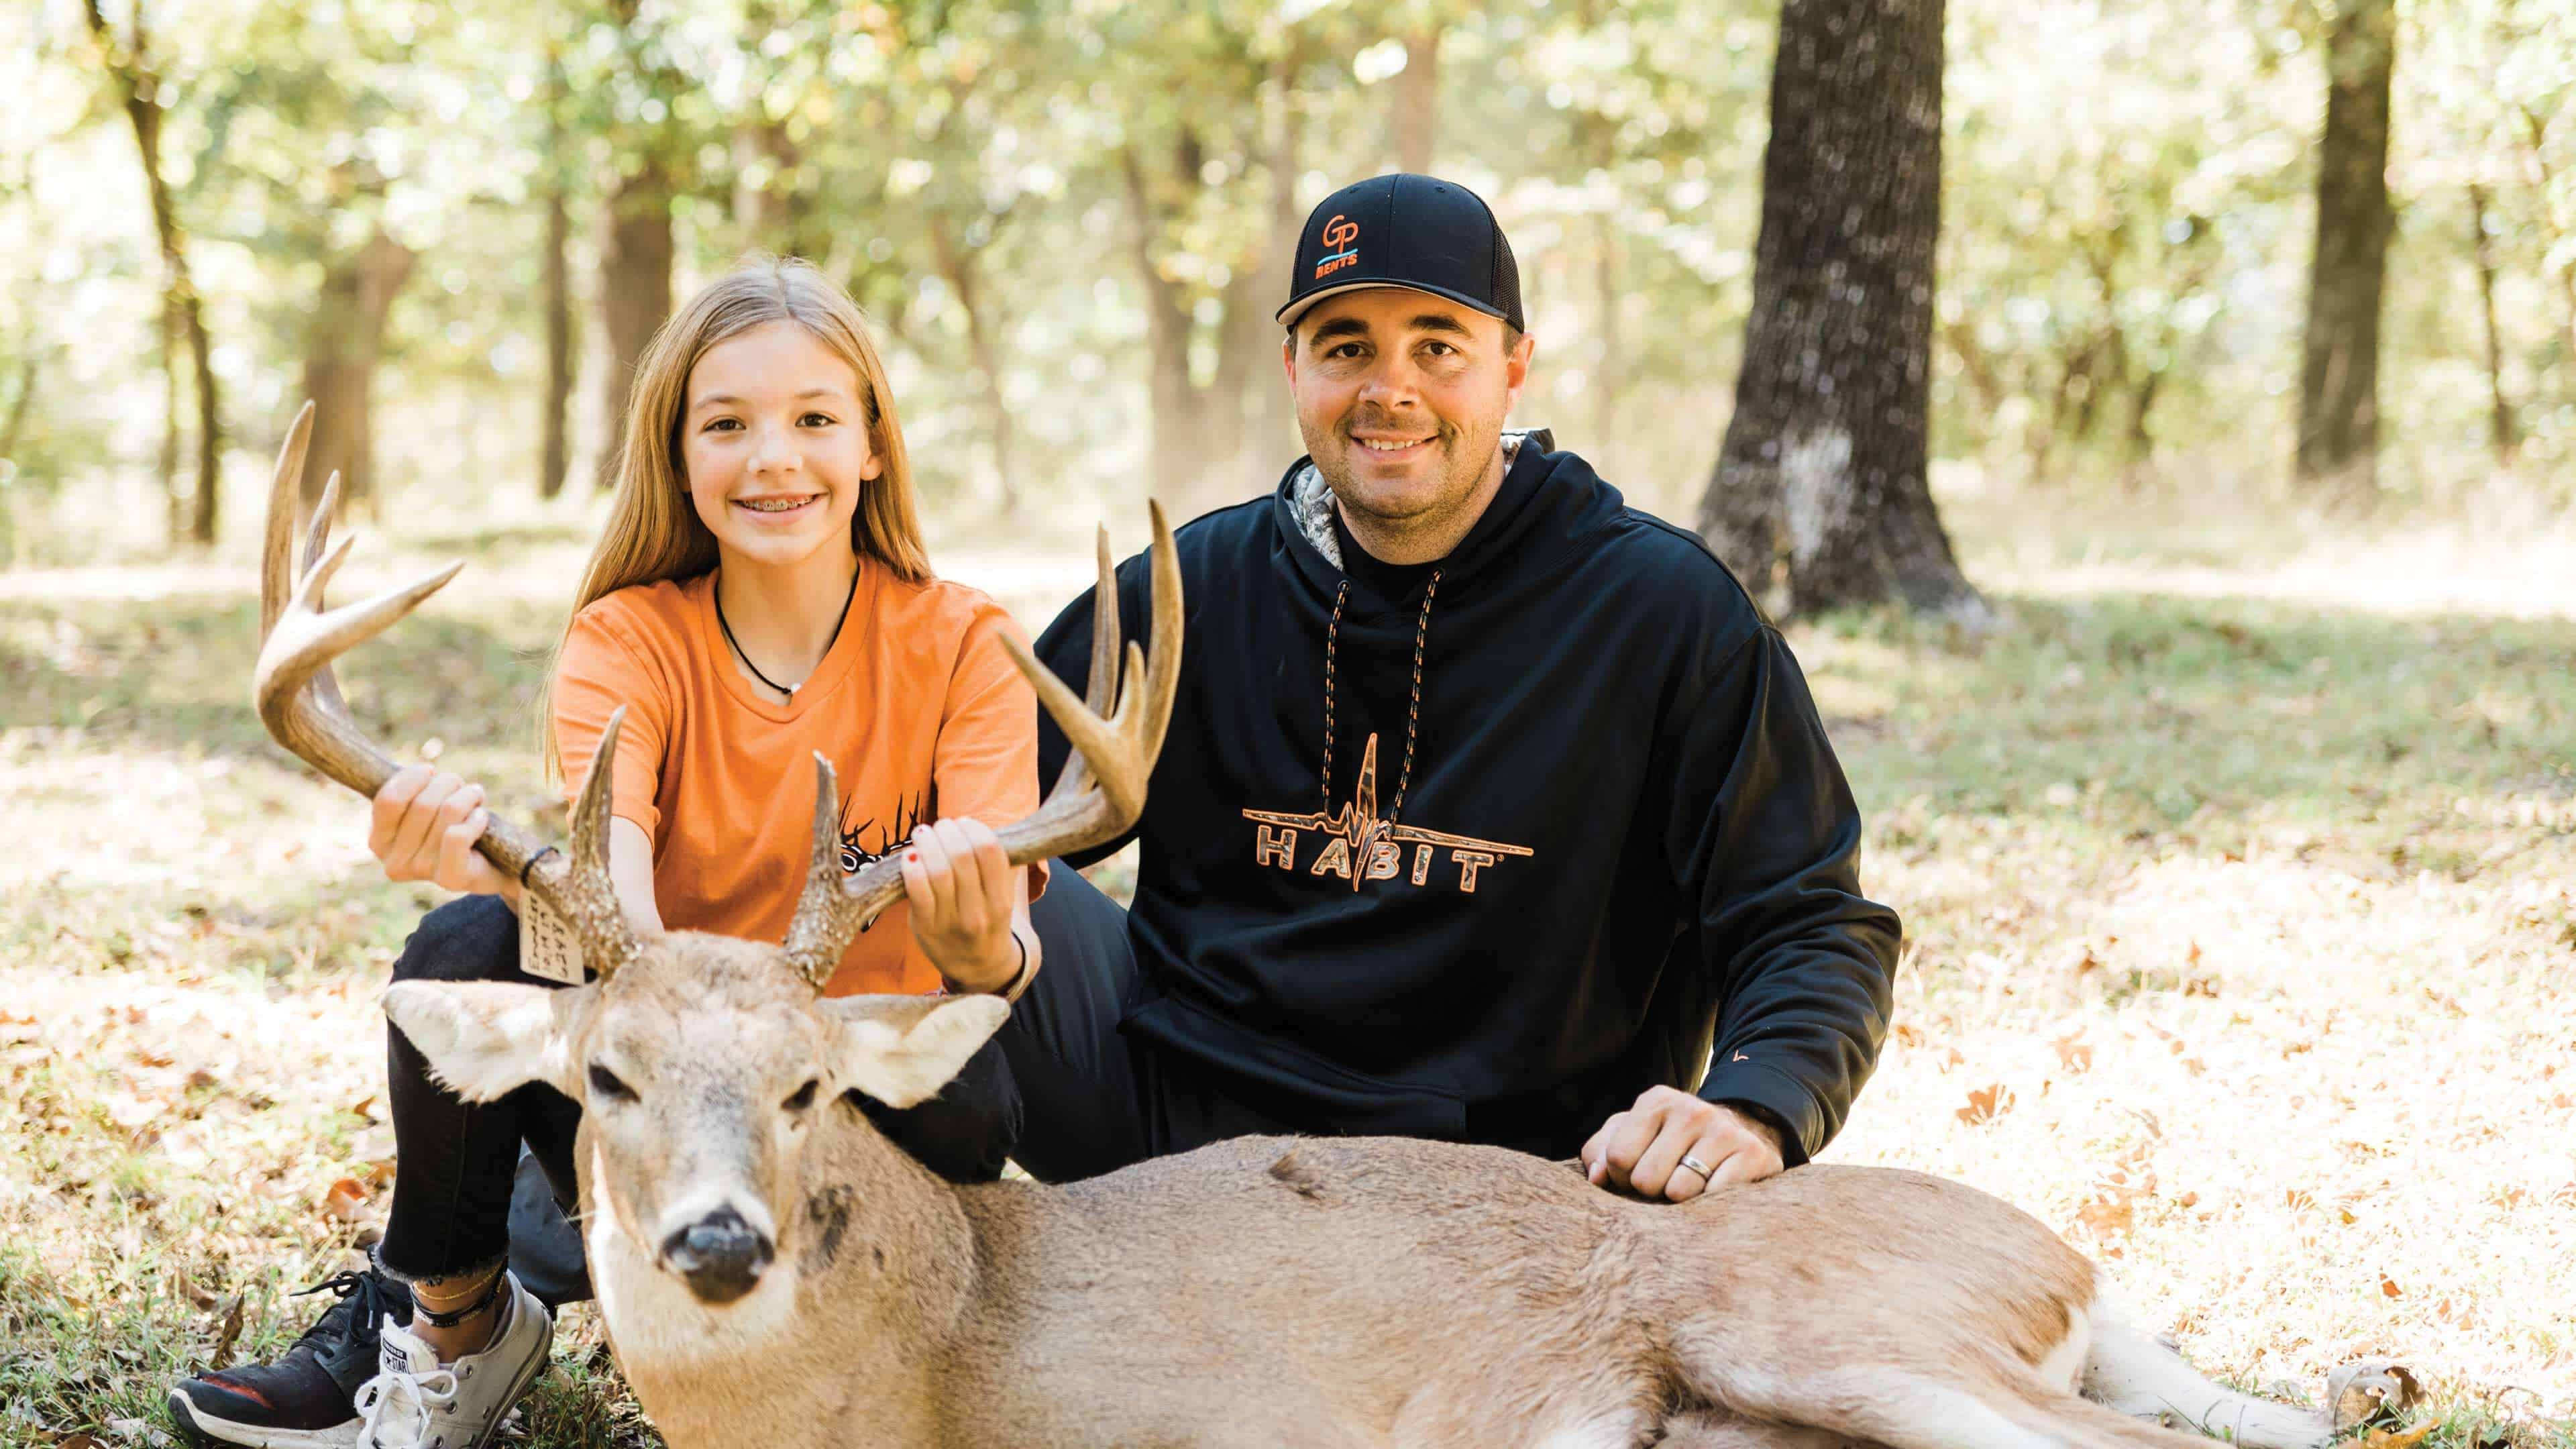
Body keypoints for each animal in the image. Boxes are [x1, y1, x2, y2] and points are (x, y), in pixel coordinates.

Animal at [251, 399, 2349, 1444]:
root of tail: (2068, 1259)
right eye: (603, 1074)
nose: (709, 1240)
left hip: (1819, 1326)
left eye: (809, 1088)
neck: (892, 1376)